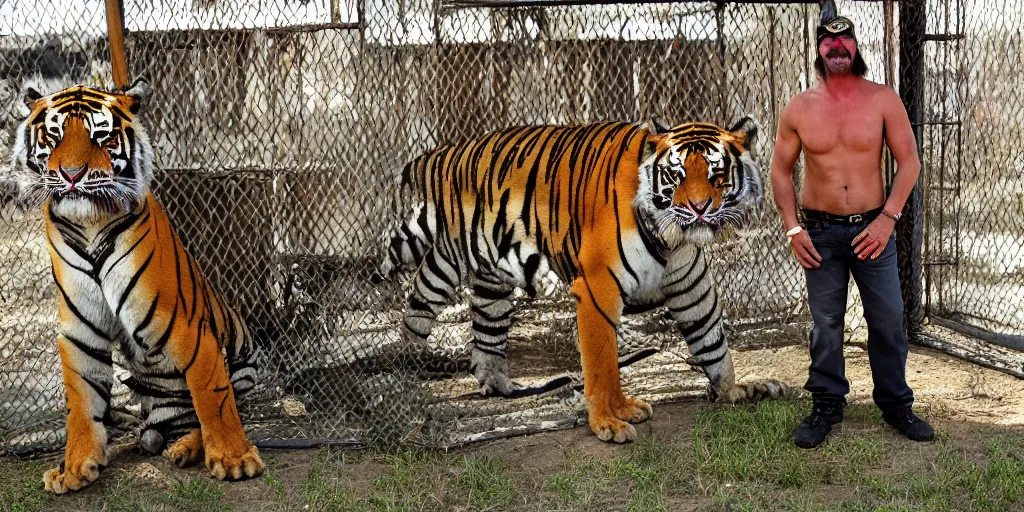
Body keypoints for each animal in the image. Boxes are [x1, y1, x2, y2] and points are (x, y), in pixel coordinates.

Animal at [9, 81, 264, 493]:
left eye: (101, 135)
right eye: (55, 134)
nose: (71, 174)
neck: (90, 224)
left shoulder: (187, 328)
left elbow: (213, 398)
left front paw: (235, 460)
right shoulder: (80, 331)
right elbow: (81, 402)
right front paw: (74, 466)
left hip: (247, 363)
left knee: (206, 410)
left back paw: (184, 449)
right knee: (148, 426)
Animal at [385, 117, 790, 442]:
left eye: (717, 175)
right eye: (675, 176)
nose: (699, 208)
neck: (672, 239)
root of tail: (450, 150)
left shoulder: (691, 285)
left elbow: (712, 340)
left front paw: (734, 390)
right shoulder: (598, 287)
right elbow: (603, 363)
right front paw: (608, 421)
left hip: (492, 269)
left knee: (484, 323)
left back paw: (498, 383)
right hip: (457, 251)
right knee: (422, 296)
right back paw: (406, 367)